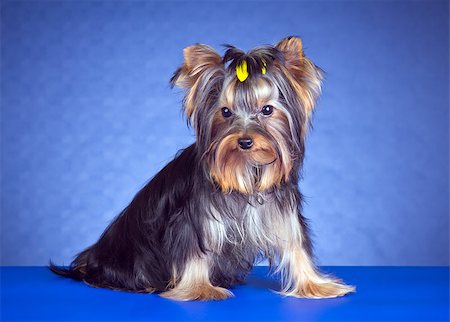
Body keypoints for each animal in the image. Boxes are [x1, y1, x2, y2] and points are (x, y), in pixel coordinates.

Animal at [51, 36, 356, 300]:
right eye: (225, 112)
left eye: (267, 110)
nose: (245, 140)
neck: (247, 173)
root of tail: (92, 259)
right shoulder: (191, 219)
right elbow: (195, 250)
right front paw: (199, 289)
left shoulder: (282, 210)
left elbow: (296, 245)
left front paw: (315, 285)